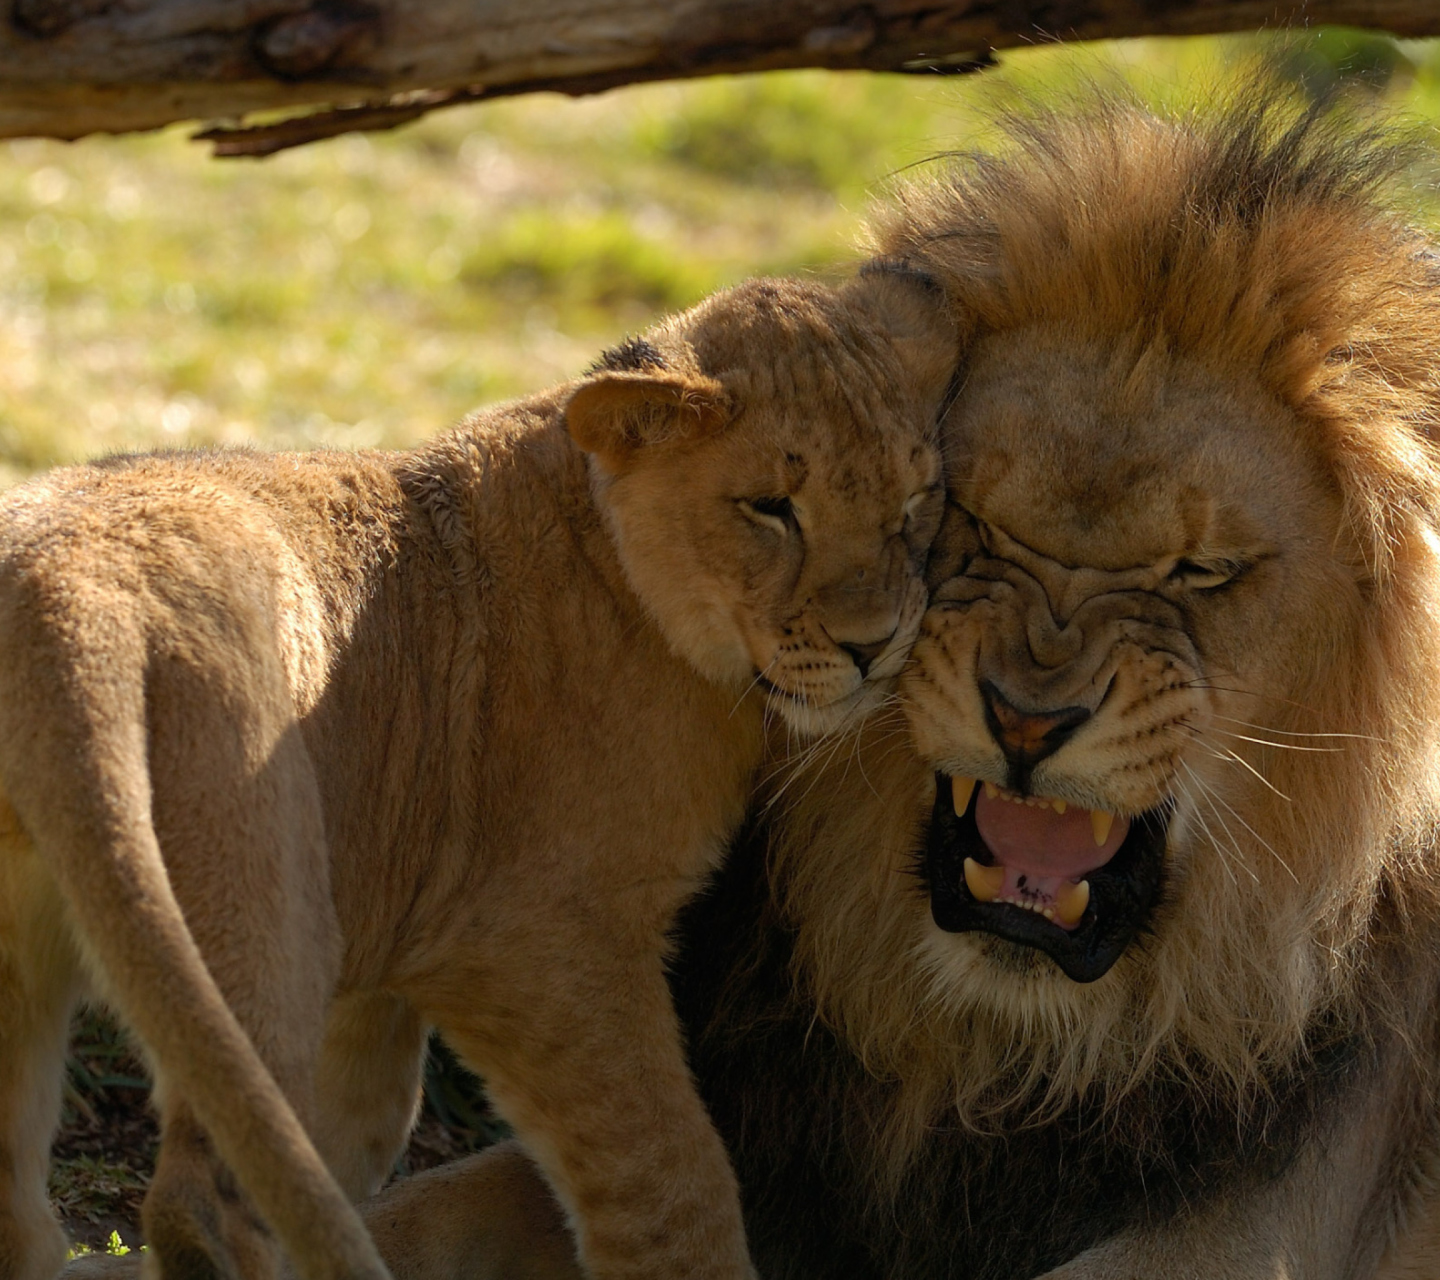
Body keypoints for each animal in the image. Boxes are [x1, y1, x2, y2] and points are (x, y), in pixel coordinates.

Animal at [0, 269, 950, 1278]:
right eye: (771, 507)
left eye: (915, 502)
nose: (877, 646)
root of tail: (65, 595)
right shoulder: (537, 943)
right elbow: (673, 1181)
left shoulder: (391, 935)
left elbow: (355, 1132)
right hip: (261, 900)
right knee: (201, 1203)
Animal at [351, 92, 1440, 1278]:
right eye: (975, 519)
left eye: (1202, 571)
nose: (1029, 719)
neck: (989, 1046)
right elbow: (415, 1211)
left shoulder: (1253, 1223)